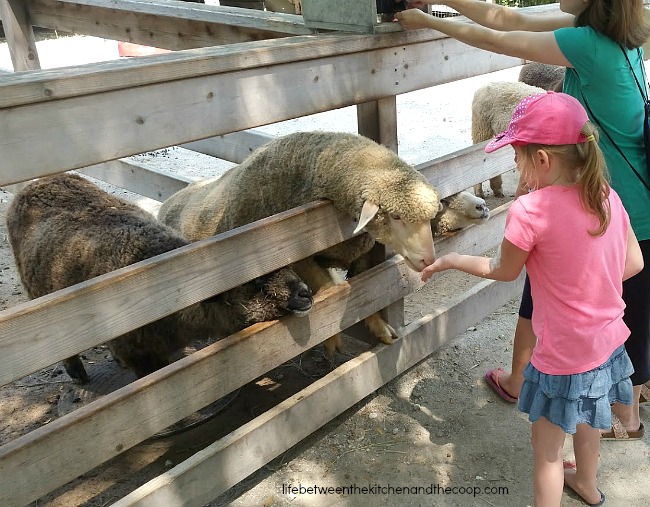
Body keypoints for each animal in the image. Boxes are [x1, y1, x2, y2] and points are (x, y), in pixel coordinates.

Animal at [6, 175, 312, 380]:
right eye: (256, 282)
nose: (305, 293)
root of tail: (38, 182)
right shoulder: (140, 356)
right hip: (39, 296)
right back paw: (77, 374)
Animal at [158, 131, 440, 358]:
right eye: (396, 216)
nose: (428, 260)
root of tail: (169, 201)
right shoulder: (298, 256)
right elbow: (332, 289)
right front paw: (332, 338)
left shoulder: (362, 254)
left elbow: (368, 291)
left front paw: (379, 327)